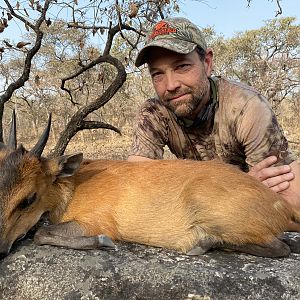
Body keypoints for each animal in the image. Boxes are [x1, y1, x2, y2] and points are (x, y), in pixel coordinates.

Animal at [0, 112, 298, 258]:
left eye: (29, 198)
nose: (1, 249)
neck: (71, 189)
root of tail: (283, 207)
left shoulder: (95, 220)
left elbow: (41, 233)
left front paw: (104, 242)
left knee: (281, 247)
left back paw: (202, 243)